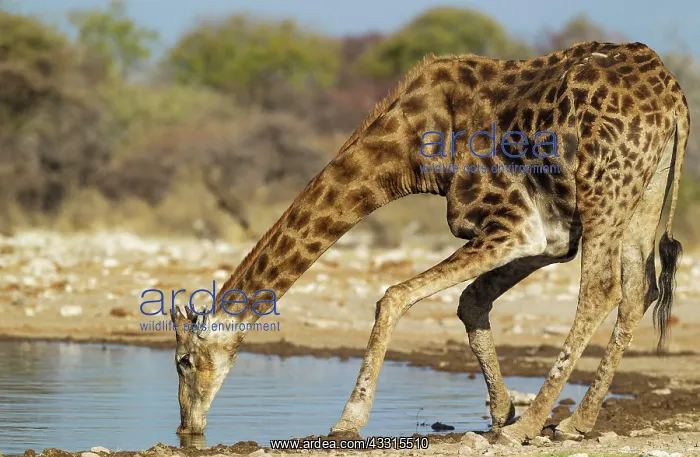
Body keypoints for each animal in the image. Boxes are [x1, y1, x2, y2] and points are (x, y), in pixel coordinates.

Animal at [170, 41, 689, 444]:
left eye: (183, 361)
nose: (186, 427)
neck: (410, 150)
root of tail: (675, 101)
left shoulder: (516, 224)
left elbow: (393, 296)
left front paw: (347, 423)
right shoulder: (551, 236)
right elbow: (470, 301)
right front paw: (501, 412)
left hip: (605, 190)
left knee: (601, 290)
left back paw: (534, 427)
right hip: (640, 196)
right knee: (638, 289)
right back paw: (577, 421)